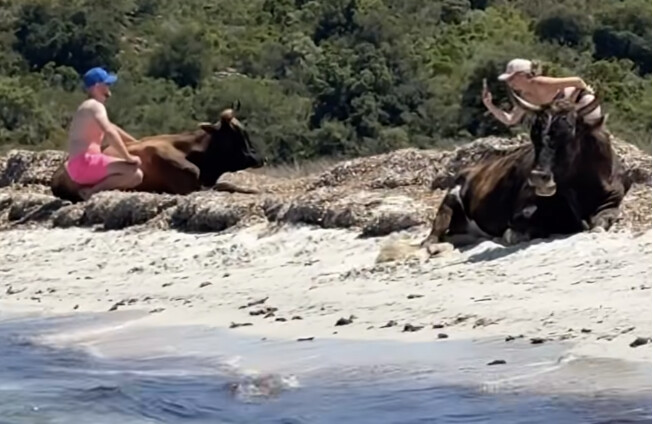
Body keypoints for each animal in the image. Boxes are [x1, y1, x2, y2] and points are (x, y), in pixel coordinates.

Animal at [417, 92, 631, 255]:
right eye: (533, 135)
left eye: (568, 134)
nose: (538, 177)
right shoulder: (521, 212)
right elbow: (521, 230)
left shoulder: (612, 202)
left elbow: (600, 223)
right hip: (449, 200)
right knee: (435, 233)